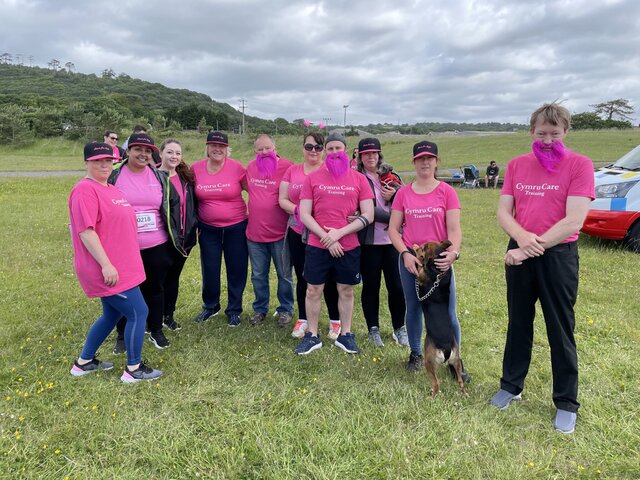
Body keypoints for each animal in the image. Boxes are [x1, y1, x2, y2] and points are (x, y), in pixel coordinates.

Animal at [412, 240, 468, 398]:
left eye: (425, 246)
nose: (420, 244)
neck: (438, 272)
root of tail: (447, 348)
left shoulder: (420, 275)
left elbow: (419, 264)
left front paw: (416, 250)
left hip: (429, 362)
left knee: (436, 384)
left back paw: (431, 396)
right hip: (456, 361)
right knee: (460, 381)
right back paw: (464, 394)